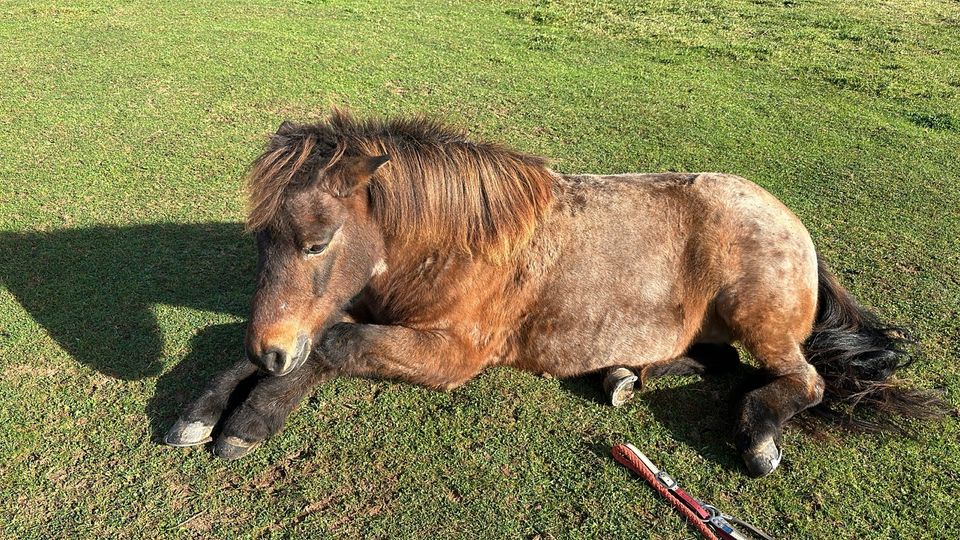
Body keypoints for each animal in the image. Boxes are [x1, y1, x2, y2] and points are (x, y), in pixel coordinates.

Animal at [167, 108, 944, 476]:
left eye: (317, 241)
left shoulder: (451, 354)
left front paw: (251, 419)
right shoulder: (350, 309)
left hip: (758, 317)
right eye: (261, 240)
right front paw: (205, 412)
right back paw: (624, 374)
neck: (452, 244)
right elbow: (299, 344)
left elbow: (333, 344)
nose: (271, 352)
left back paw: (757, 435)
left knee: (801, 381)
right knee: (719, 362)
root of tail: (791, 222)